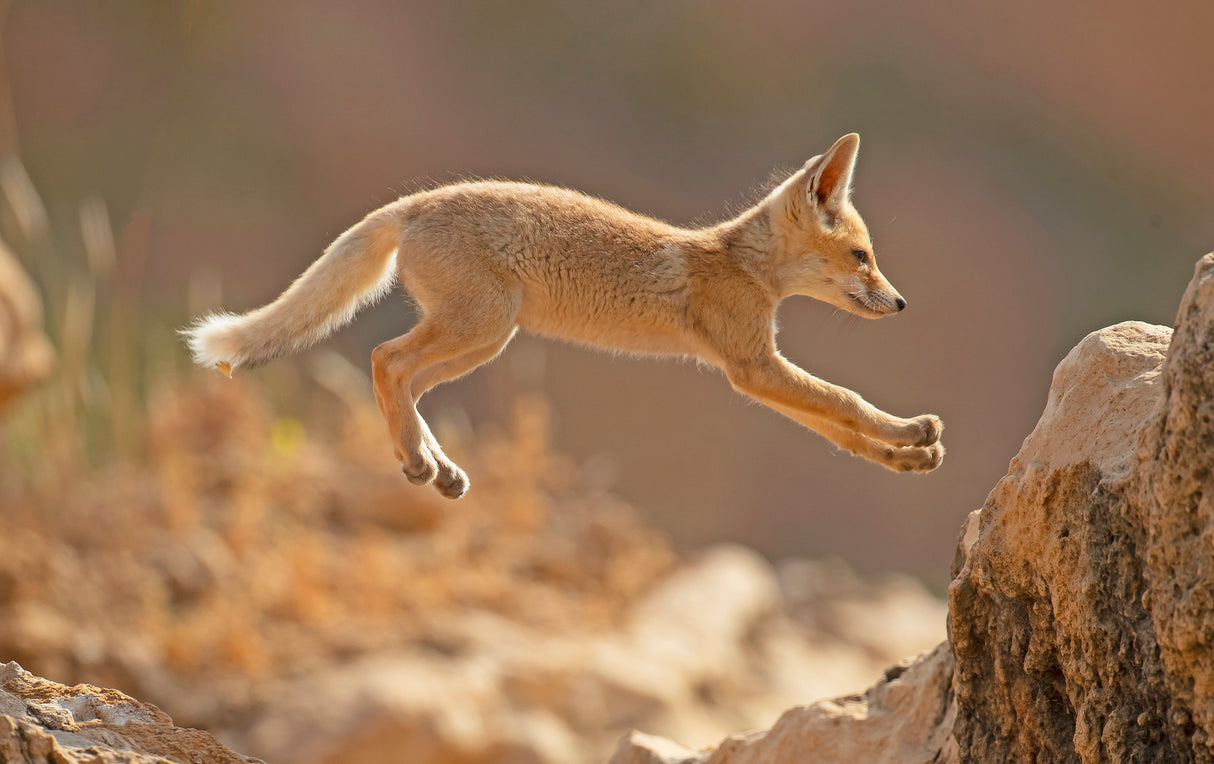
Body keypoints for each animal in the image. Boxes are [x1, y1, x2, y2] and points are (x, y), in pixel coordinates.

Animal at [183, 133, 944, 499]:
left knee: (403, 383)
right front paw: (910, 432)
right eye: (862, 257)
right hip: (481, 330)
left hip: (479, 343)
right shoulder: (751, 366)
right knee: (384, 360)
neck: (736, 263)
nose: (903, 303)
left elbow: (840, 430)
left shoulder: (754, 370)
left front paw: (905, 456)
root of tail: (419, 202)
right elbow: (846, 401)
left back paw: (432, 465)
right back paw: (420, 463)